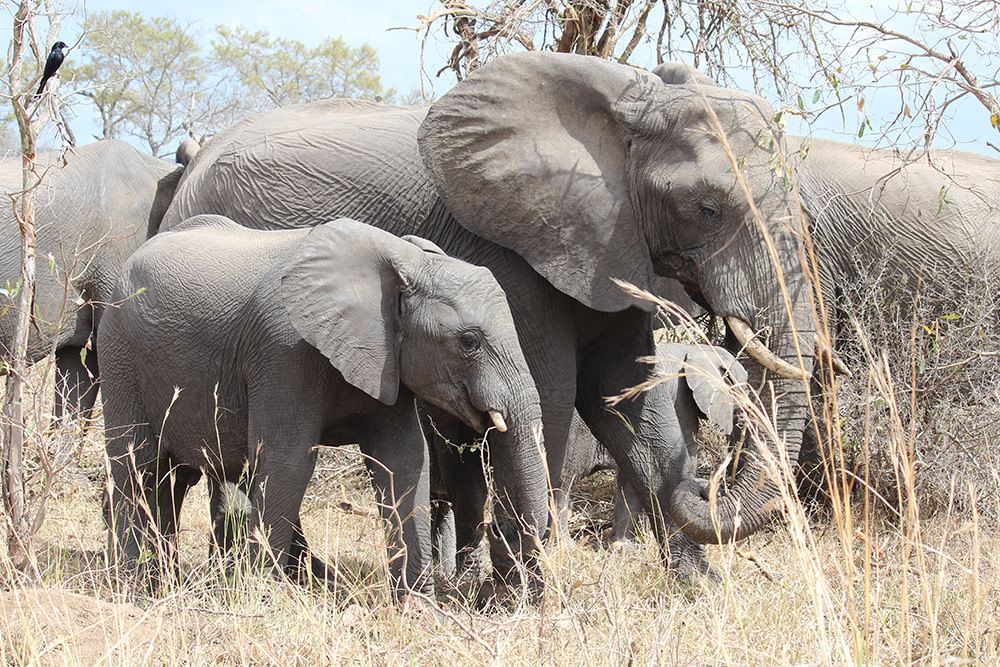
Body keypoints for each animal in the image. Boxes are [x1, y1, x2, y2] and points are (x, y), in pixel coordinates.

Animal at [99, 215, 548, 600]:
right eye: (469, 342)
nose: (501, 529)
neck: (405, 261)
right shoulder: (283, 352)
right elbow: (288, 462)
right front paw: (262, 599)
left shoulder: (386, 360)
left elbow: (404, 459)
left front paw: (419, 608)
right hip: (118, 354)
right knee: (137, 465)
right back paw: (135, 588)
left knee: (174, 479)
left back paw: (163, 582)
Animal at [162, 53, 820, 576]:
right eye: (708, 208)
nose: (706, 480)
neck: (619, 109)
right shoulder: (509, 253)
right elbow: (550, 400)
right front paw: (522, 595)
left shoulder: (609, 243)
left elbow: (625, 398)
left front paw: (697, 589)